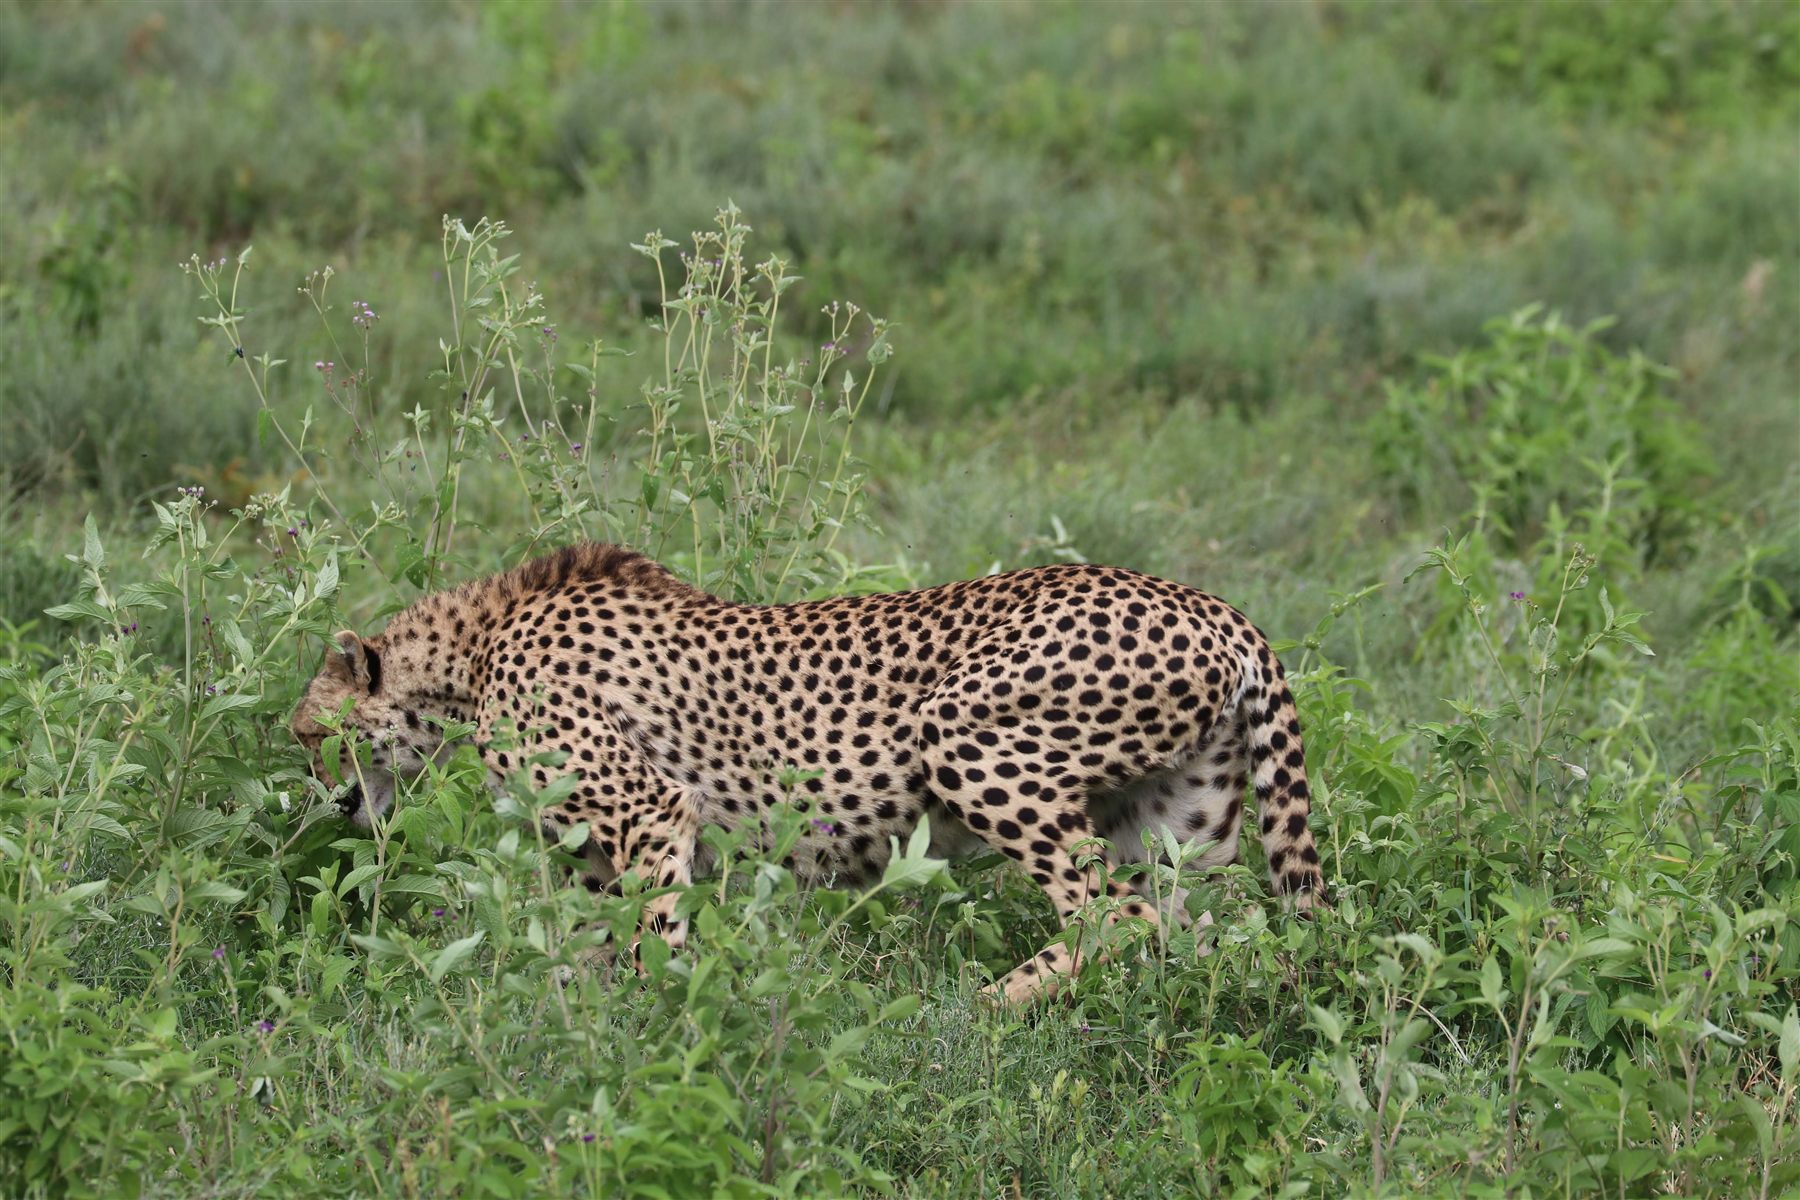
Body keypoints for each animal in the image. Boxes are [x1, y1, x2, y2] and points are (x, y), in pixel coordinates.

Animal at [290, 542, 1326, 1003]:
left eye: (307, 736)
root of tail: (1219, 607)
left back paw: (976, 1015)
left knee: (1116, 916)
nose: (330, 802)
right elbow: (587, 949)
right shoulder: (592, 849)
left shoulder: (651, 812)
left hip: (966, 737)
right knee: (1194, 940)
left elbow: (653, 939)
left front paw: (666, 1039)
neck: (472, 654)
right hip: (1174, 830)